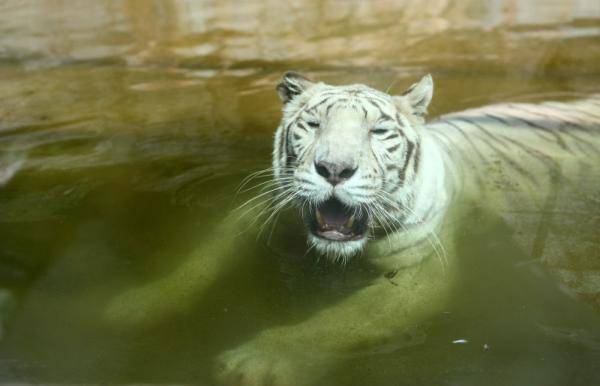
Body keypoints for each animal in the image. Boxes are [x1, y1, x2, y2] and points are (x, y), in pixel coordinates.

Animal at [104, 72, 600, 386]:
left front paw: (261, 361)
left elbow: (342, 320)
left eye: (379, 131)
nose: (334, 169)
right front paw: (132, 306)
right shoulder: (256, 214)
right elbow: (198, 263)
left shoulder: (420, 271)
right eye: (312, 124)